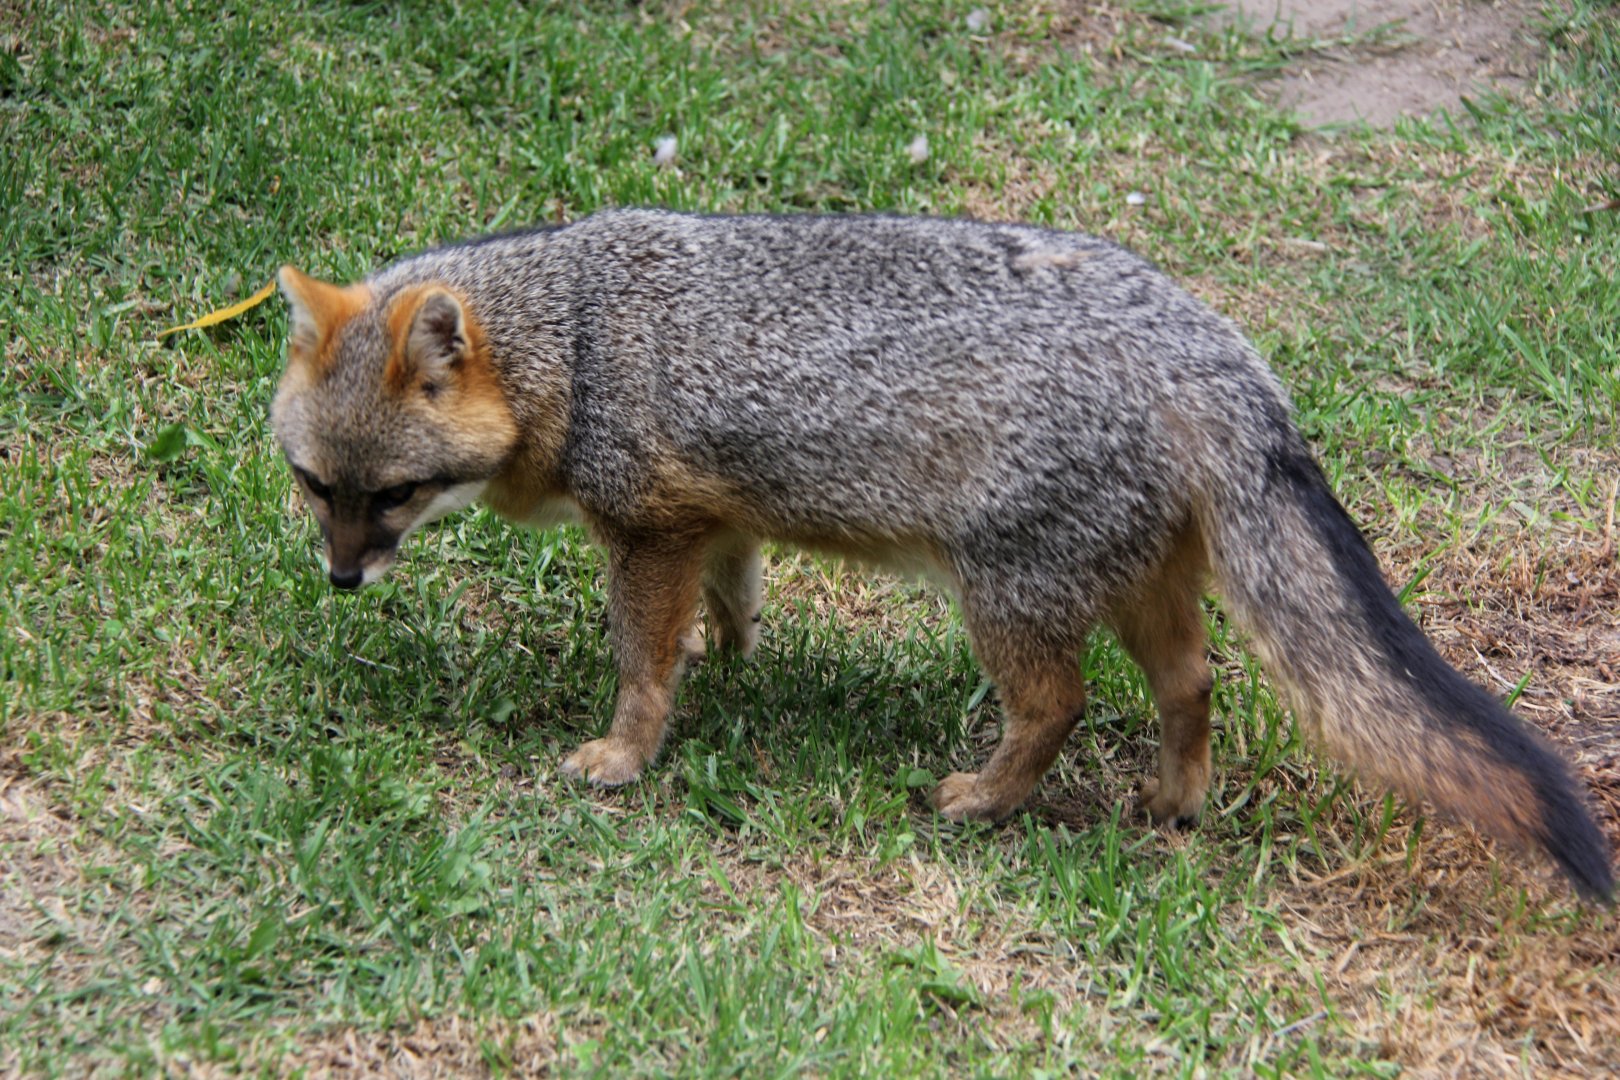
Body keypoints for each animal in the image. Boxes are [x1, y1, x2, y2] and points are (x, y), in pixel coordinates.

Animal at [271, 208, 1613, 899]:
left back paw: (983, 799)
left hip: (1005, 590)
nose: (339, 580)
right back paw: (1171, 803)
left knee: (1060, 703)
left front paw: (624, 754)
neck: (584, 338)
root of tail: (1208, 345)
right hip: (1136, 582)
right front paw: (734, 665)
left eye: (391, 496)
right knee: (1192, 682)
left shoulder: (646, 530)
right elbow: (733, 605)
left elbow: (640, 662)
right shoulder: (718, 521)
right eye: (312, 487)